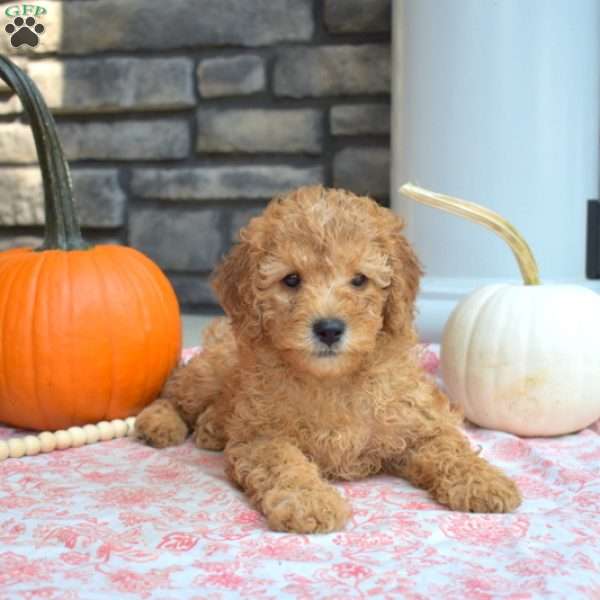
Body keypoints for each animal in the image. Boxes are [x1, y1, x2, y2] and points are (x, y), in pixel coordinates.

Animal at [136, 185, 520, 532]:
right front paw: (309, 503)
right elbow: (284, 462)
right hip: (211, 371)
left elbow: (449, 449)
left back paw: (212, 427)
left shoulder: (419, 423)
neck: (332, 379)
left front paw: (484, 483)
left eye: (359, 280)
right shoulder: (261, 438)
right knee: (172, 391)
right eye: (291, 279)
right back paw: (160, 424)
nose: (330, 329)